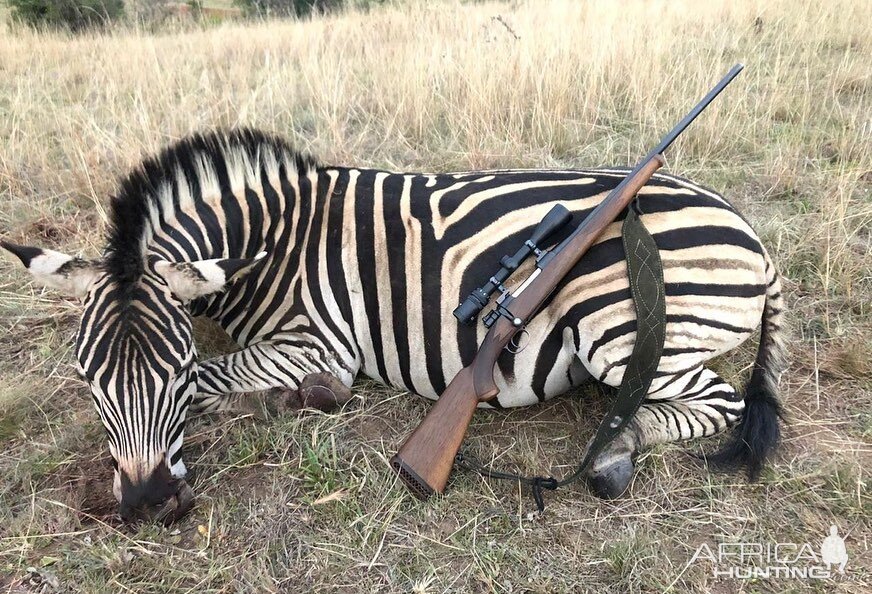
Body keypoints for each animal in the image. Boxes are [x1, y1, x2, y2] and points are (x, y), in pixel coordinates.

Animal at [1, 128, 792, 520]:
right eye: (88, 381)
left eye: (175, 374)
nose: (145, 507)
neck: (271, 242)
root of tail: (751, 235)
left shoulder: (319, 339)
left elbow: (236, 375)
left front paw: (286, 396)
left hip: (617, 329)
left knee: (714, 400)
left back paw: (614, 451)